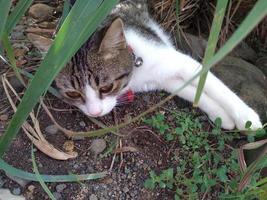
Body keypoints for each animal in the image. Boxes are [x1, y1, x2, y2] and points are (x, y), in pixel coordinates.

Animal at [55, 0, 262, 130]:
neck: (137, 67)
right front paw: (222, 116)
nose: (95, 113)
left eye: (106, 87)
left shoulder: (181, 62)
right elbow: (193, 92)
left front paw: (247, 118)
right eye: (73, 94)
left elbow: (216, 87)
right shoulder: (164, 81)